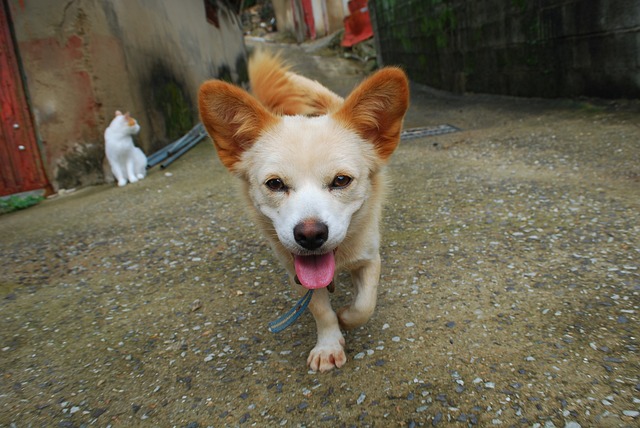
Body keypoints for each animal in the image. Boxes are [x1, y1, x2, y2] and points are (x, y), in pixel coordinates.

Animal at [199, 50, 410, 372]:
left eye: (341, 180)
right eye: (275, 184)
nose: (310, 235)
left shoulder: (370, 259)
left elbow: (365, 305)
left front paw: (346, 316)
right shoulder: (297, 275)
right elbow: (321, 311)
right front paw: (329, 344)